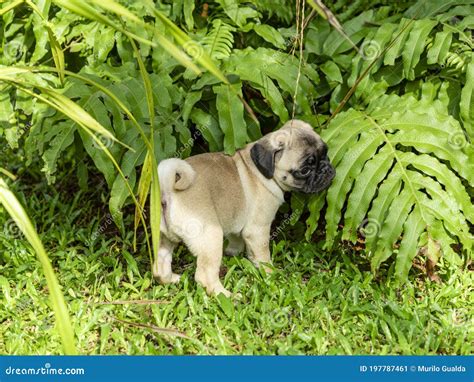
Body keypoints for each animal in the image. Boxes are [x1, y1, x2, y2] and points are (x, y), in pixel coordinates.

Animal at [154, 119, 336, 296]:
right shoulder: (257, 230)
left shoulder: (236, 220)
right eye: (304, 170)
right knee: (204, 276)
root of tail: (168, 189)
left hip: (163, 238)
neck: (259, 171)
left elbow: (236, 239)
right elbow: (263, 256)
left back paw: (171, 279)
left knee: (160, 265)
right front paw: (271, 274)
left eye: (325, 153)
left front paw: (233, 252)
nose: (327, 169)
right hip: (211, 236)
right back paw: (226, 296)